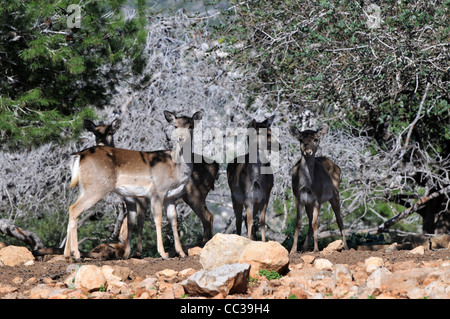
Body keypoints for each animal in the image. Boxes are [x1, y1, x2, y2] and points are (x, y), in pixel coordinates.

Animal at [64, 110, 201, 260]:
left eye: (191, 126)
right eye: (175, 126)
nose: (181, 138)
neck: (175, 168)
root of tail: (78, 156)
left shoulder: (171, 197)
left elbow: (173, 221)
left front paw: (182, 253)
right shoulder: (157, 191)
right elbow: (158, 219)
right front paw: (163, 253)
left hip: (83, 188)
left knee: (71, 209)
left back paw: (67, 253)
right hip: (97, 187)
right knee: (74, 209)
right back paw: (76, 253)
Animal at [288, 126, 348, 254]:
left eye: (315, 139)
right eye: (301, 140)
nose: (308, 151)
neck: (307, 184)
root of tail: (337, 166)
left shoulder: (318, 198)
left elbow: (316, 223)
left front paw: (316, 249)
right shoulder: (299, 197)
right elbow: (299, 223)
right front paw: (292, 251)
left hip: (335, 193)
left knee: (339, 219)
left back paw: (346, 247)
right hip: (309, 203)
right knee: (310, 222)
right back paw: (304, 249)